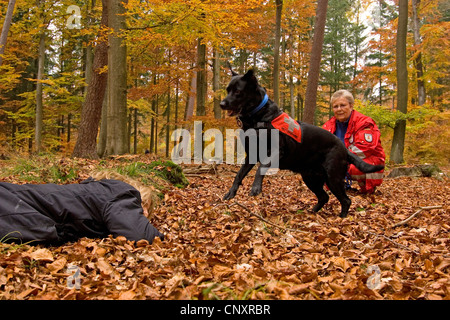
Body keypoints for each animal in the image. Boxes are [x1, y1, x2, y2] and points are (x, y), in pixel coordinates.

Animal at [218, 69, 384, 218]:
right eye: (228, 90)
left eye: (238, 91)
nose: (221, 104)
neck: (258, 116)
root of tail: (344, 148)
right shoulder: (251, 155)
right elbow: (239, 174)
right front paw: (231, 192)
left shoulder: (276, 151)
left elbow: (261, 168)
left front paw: (256, 187)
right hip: (311, 178)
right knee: (324, 197)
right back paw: (311, 212)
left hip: (333, 177)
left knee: (346, 200)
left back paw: (341, 217)